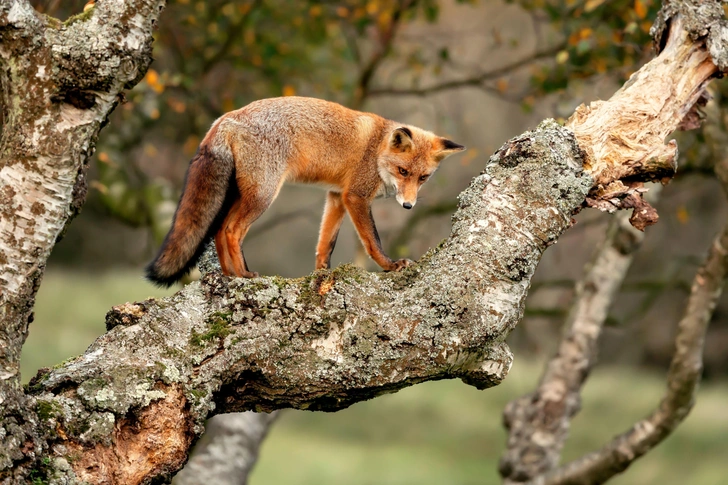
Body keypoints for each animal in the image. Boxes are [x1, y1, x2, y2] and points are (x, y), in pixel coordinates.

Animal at [146, 96, 466, 286]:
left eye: (423, 178)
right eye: (403, 172)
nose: (408, 206)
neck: (376, 150)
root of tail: (226, 117)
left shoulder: (336, 197)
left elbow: (326, 244)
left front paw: (322, 275)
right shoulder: (356, 196)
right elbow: (372, 241)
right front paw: (390, 265)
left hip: (241, 193)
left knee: (217, 230)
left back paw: (230, 276)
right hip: (263, 195)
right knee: (230, 230)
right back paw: (243, 274)